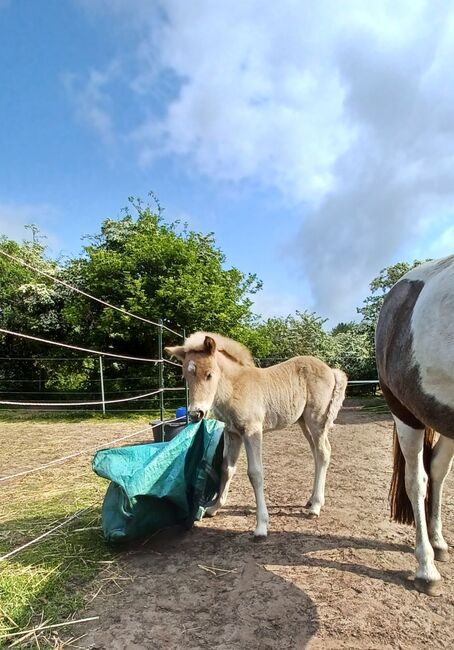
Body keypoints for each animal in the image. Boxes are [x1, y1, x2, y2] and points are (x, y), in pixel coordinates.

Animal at [167, 332, 348, 540]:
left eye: (209, 374)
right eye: (186, 376)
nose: (196, 413)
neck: (234, 388)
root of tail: (331, 370)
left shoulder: (252, 431)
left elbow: (255, 473)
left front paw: (261, 526)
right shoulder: (232, 432)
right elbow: (226, 468)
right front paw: (214, 507)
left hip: (316, 420)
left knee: (324, 452)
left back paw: (316, 506)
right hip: (304, 422)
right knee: (317, 453)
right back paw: (312, 500)